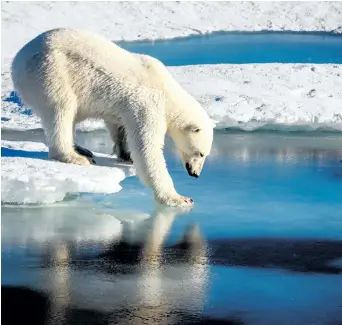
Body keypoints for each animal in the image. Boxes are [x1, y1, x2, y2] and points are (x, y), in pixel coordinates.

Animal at [12, 27, 214, 205]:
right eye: (201, 153)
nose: (195, 174)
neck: (168, 92)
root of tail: (17, 60)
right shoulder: (149, 105)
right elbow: (147, 149)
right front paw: (178, 198)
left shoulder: (124, 108)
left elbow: (118, 125)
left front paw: (125, 154)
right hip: (51, 72)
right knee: (62, 109)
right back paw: (75, 156)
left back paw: (81, 149)